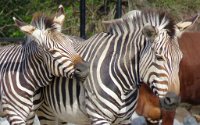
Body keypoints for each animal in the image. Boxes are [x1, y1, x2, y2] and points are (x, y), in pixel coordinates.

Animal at [36, 9, 198, 124]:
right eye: (159, 57)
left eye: (180, 59)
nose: (174, 100)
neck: (125, 85)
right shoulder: (99, 117)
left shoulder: (125, 119)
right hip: (45, 111)